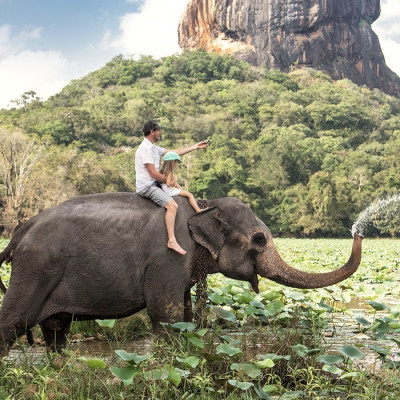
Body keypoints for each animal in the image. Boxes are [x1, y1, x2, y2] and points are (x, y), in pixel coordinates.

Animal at [0, 192, 362, 354]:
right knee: (12, 322)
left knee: (55, 331)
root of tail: (20, 231)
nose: (358, 231)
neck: (203, 205)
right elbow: (167, 314)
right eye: (259, 239)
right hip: (34, 271)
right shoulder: (169, 258)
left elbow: (185, 314)